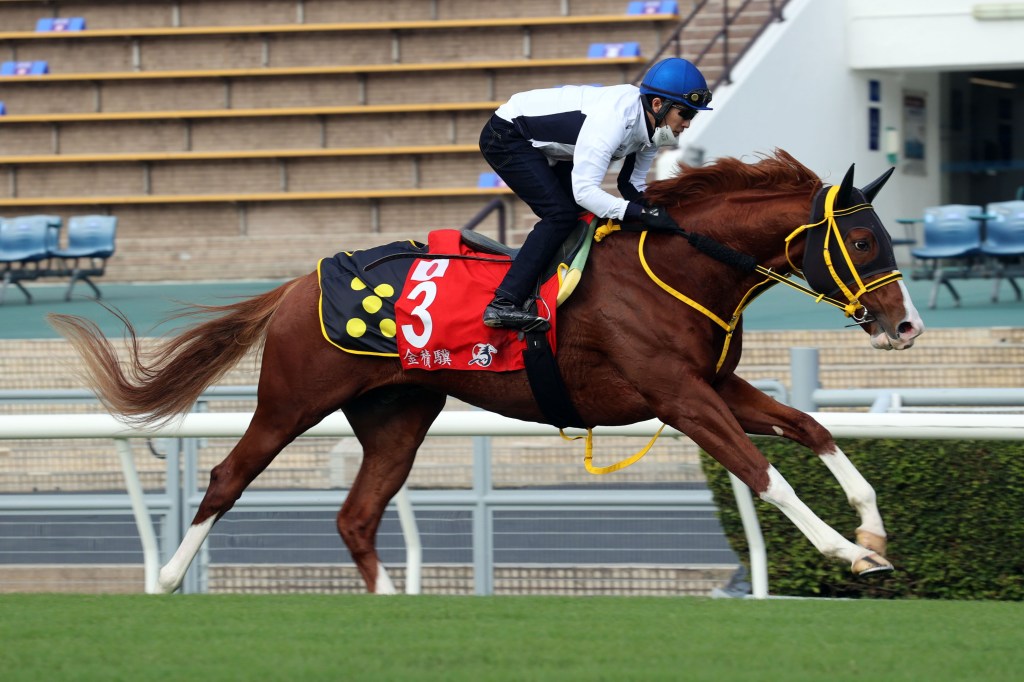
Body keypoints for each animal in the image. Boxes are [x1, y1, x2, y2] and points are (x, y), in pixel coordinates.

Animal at [49, 150, 924, 594]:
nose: (906, 325)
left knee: (357, 516)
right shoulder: (678, 397)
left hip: (399, 414)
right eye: (866, 241)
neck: (679, 266)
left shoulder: (716, 386)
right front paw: (846, 552)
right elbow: (761, 470)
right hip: (292, 398)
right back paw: (165, 578)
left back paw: (393, 605)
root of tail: (299, 284)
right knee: (230, 475)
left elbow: (811, 427)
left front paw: (873, 528)